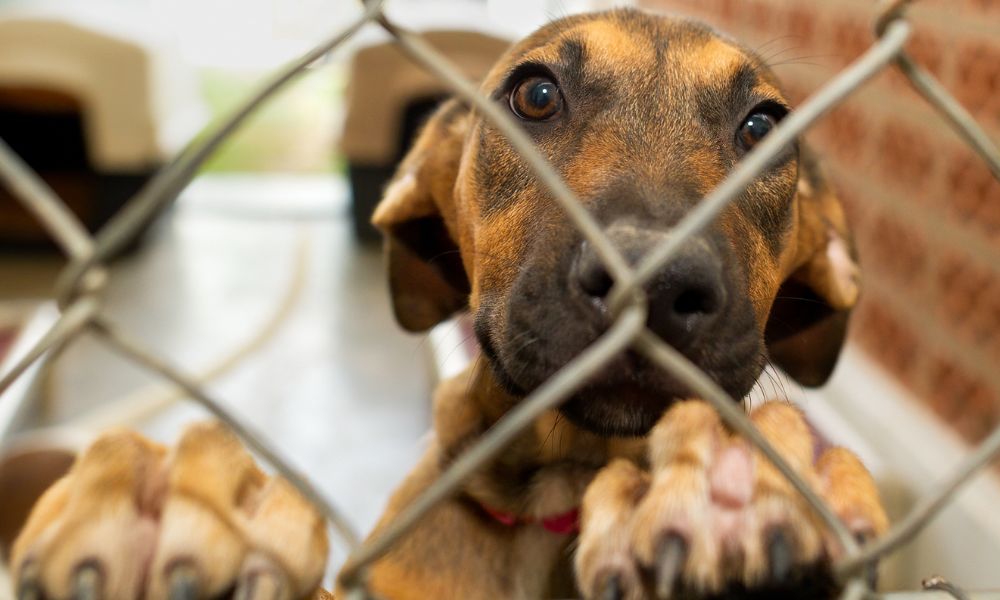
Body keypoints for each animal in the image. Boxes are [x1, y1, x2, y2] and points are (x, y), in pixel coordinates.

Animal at [9, 9, 884, 600]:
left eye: (765, 127)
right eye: (536, 95)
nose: (657, 282)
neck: (556, 495)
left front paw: (744, 478)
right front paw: (187, 494)